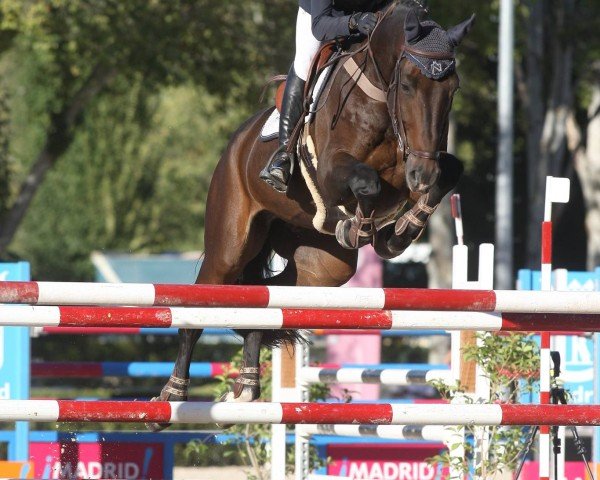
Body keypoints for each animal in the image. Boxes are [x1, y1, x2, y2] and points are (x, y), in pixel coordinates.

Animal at [145, 0, 474, 432]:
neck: (378, 97)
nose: (421, 175)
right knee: (201, 305)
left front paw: (399, 230)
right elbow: (367, 183)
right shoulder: (335, 170)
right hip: (229, 247)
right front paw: (365, 227)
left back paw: (245, 388)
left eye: (452, 90)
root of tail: (234, 146)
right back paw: (172, 395)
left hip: (321, 266)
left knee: (267, 297)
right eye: (407, 85)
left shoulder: (422, 166)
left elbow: (450, 171)